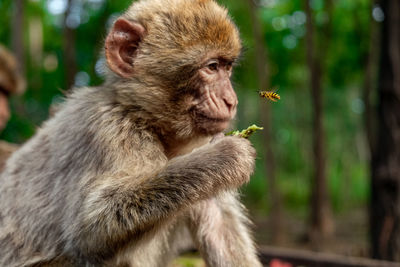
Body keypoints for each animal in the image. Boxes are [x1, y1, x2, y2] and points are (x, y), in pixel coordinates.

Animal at [0, 1, 262, 266]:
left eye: (227, 67)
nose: (231, 101)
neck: (148, 120)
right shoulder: (107, 128)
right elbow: (89, 233)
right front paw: (225, 156)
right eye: (211, 67)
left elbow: (219, 227)